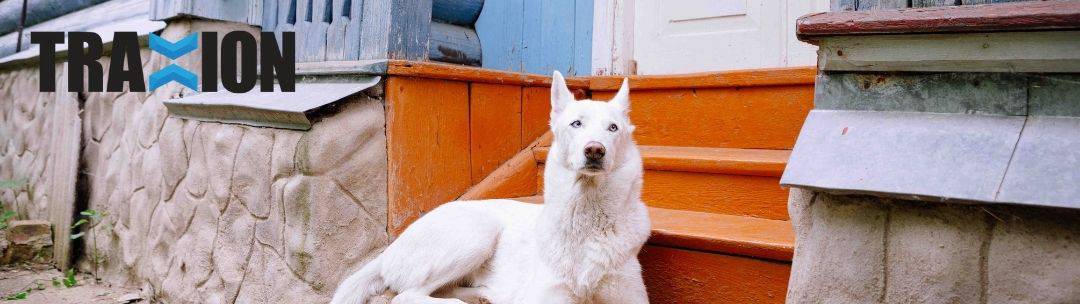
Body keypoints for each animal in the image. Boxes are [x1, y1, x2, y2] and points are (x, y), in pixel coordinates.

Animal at [328, 71, 648, 302]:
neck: (587, 221)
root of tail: (389, 250)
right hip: (478, 232)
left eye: (613, 128)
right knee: (407, 296)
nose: (595, 150)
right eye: (576, 124)